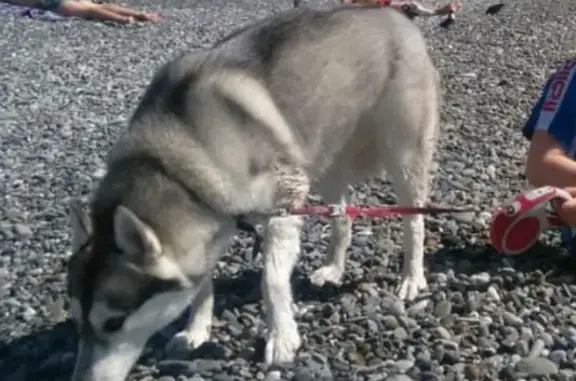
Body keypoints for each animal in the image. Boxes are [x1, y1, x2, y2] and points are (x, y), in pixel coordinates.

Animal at [65, 4, 438, 378]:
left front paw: (281, 336)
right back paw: (334, 266)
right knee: (343, 213)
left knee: (414, 220)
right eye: (78, 321)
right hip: (320, 159)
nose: (80, 378)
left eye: (113, 323)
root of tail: (393, 14)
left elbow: (271, 280)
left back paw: (411, 275)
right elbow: (201, 286)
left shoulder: (285, 201)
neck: (173, 169)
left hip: (401, 154)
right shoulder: (210, 228)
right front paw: (196, 329)